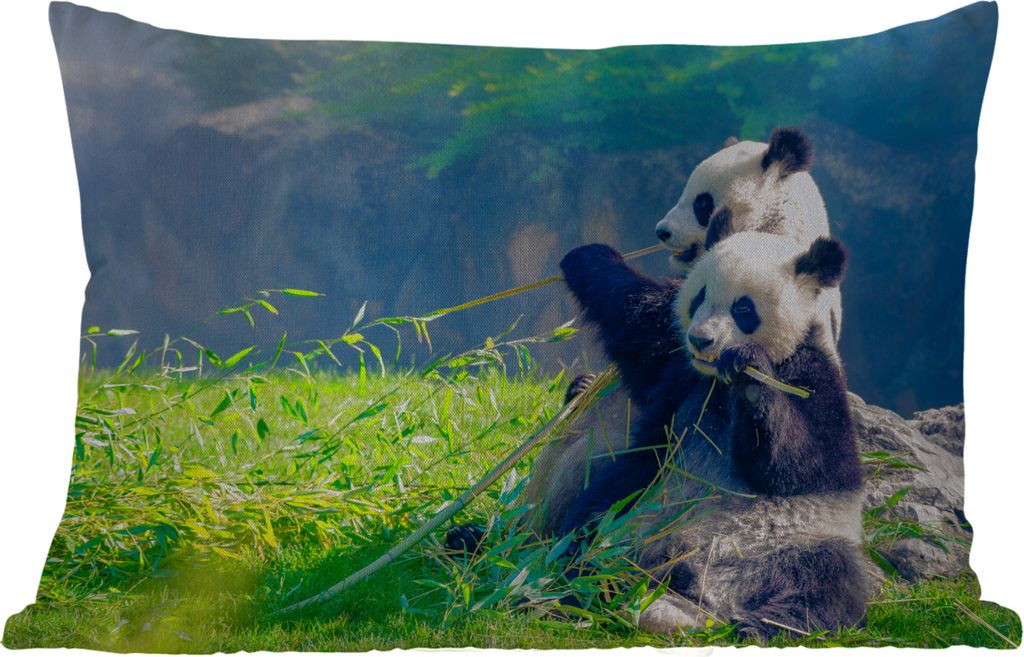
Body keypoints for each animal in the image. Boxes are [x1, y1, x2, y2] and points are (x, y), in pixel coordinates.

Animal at [558, 232, 868, 637]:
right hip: (639, 506)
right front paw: (589, 256)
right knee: (592, 527)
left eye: (743, 308)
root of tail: (705, 594)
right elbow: (637, 319)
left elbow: (804, 463)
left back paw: (760, 625)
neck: (717, 383)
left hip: (801, 542)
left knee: (829, 583)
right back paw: (580, 583)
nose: (701, 340)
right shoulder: (679, 367)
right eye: (698, 297)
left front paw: (750, 377)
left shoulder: (814, 376)